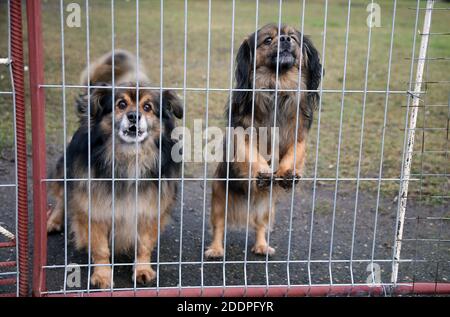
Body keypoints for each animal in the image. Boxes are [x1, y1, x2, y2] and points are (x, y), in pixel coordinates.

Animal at [47, 48, 183, 286]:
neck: (128, 158)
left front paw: (142, 269)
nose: (134, 116)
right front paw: (102, 275)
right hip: (67, 172)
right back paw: (54, 221)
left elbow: (144, 244)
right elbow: (100, 248)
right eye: (121, 104)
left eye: (147, 107)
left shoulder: (149, 208)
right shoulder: (95, 208)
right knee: (62, 197)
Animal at [204, 24, 324, 256]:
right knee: (218, 226)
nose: (285, 39)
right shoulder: (242, 135)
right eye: (268, 40)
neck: (277, 87)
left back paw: (261, 246)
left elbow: (293, 154)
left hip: (266, 207)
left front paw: (287, 173)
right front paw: (265, 172)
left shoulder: (298, 136)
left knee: (260, 225)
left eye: (293, 37)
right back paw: (215, 249)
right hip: (219, 200)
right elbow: (252, 156)